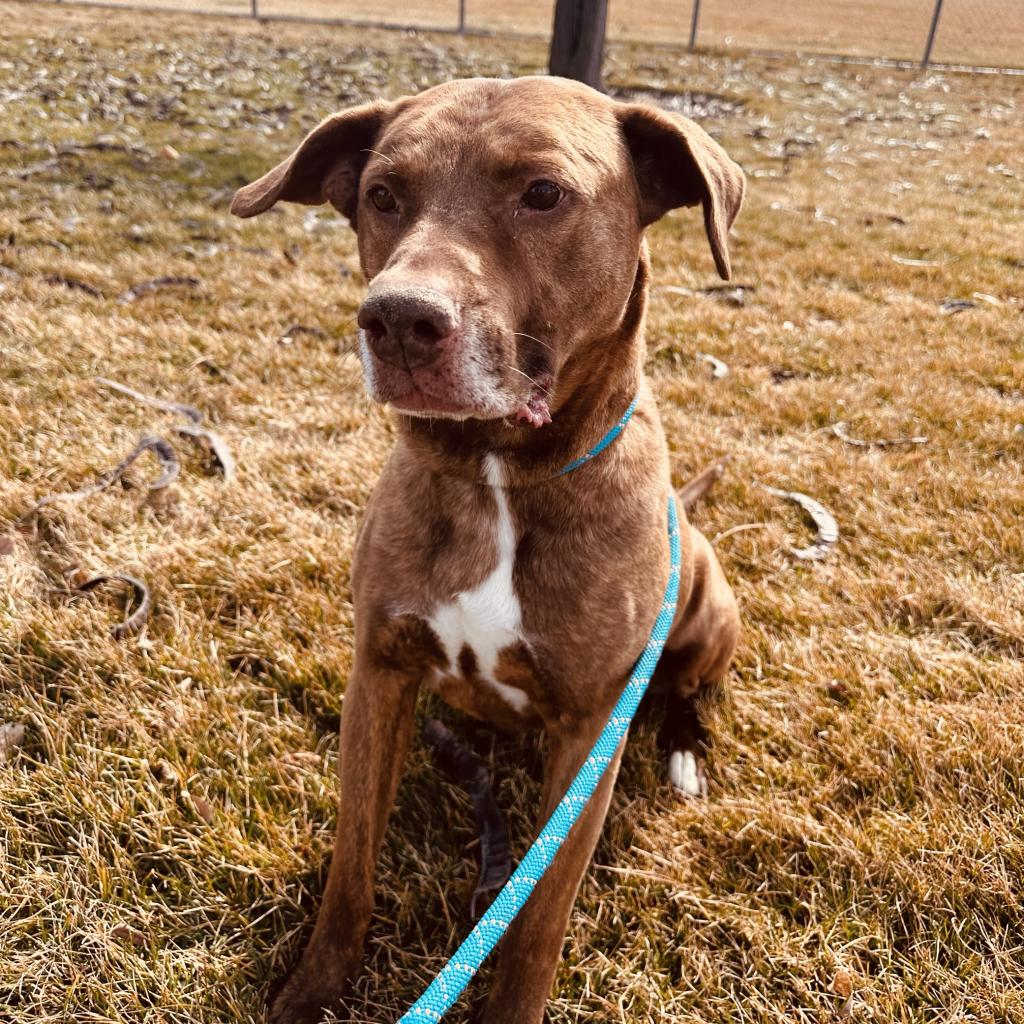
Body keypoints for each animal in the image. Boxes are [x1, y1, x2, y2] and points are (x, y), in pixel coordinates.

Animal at [232, 77, 745, 1024]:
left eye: (543, 193)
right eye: (381, 195)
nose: (397, 320)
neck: (497, 478)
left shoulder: (589, 736)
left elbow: (536, 927)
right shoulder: (379, 670)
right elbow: (351, 868)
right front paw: (311, 989)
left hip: (708, 612)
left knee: (688, 690)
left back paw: (684, 753)